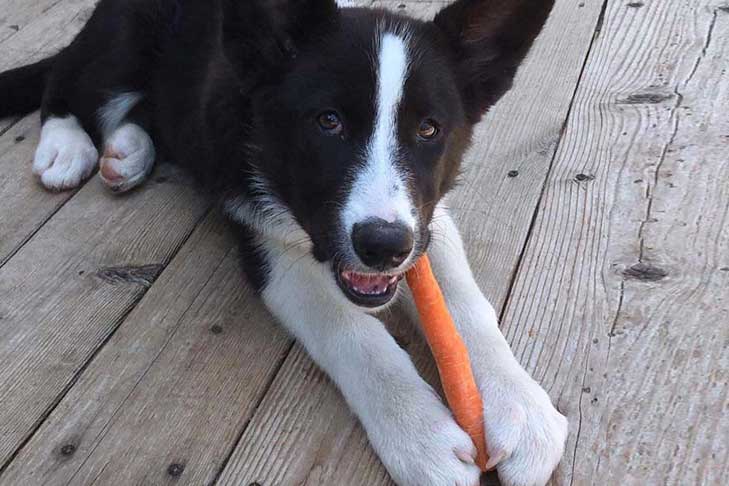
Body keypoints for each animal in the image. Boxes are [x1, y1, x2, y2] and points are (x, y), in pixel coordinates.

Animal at [0, 0, 568, 486]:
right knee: (67, 77)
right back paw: (66, 146)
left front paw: (521, 407)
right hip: (125, 40)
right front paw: (420, 435)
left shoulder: (425, 221)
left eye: (429, 130)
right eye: (328, 122)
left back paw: (128, 149)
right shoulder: (266, 245)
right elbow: (353, 333)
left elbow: (464, 301)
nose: (383, 246)